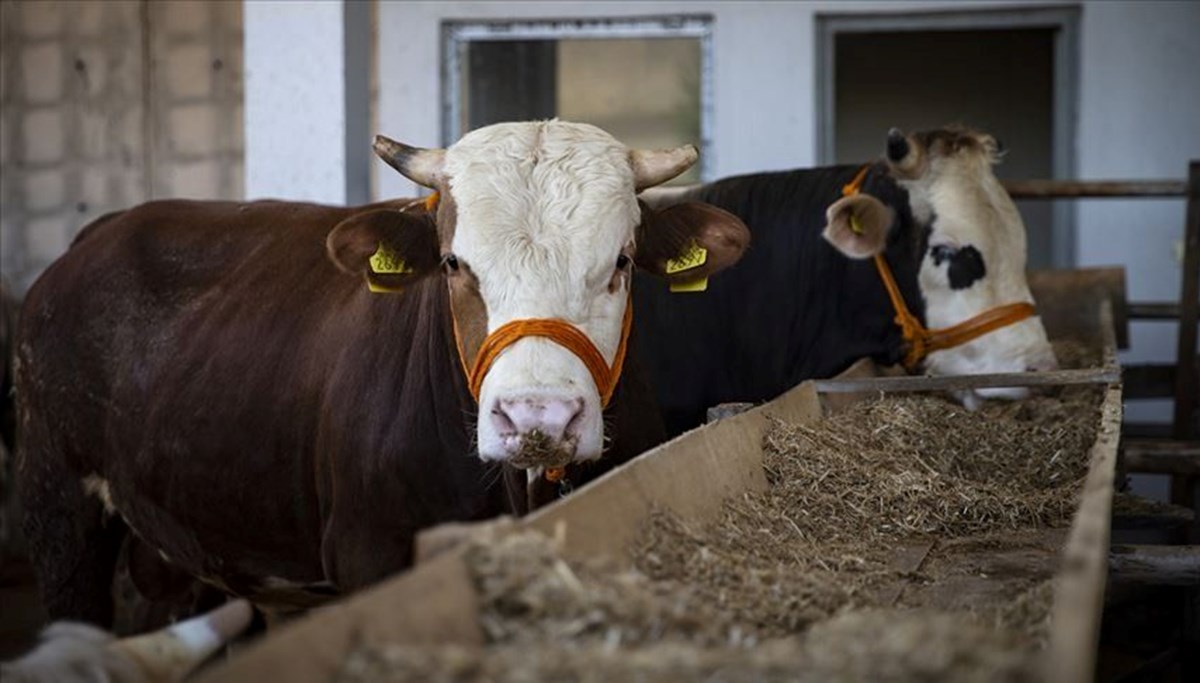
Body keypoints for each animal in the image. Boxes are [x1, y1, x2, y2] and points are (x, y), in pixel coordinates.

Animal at [14, 121, 748, 624]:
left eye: (621, 260)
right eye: (454, 263)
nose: (537, 417)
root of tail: (101, 232)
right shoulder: (369, 551)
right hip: (59, 513)